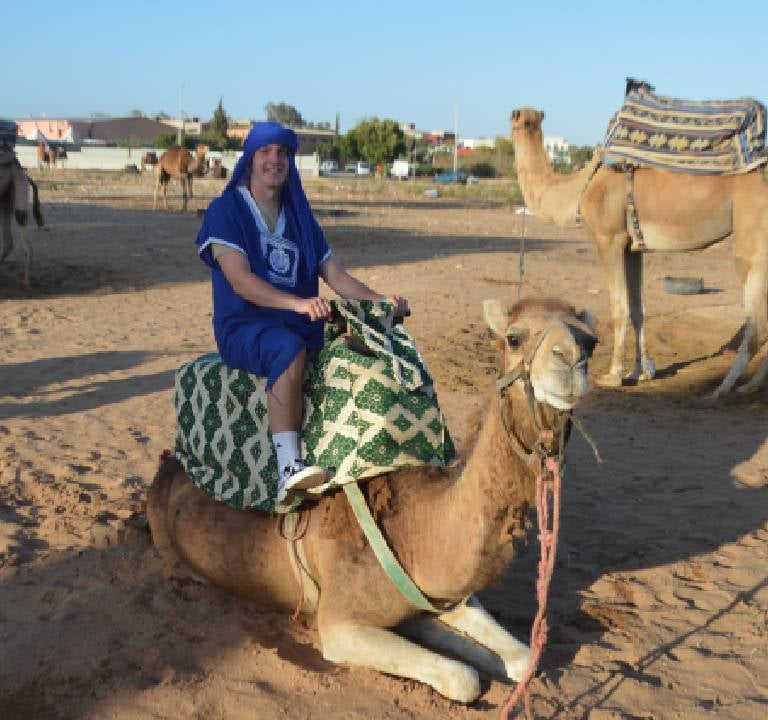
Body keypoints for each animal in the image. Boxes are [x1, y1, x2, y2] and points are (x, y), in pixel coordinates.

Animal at [147, 297, 597, 703]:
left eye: (591, 341)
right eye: (514, 338)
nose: (571, 360)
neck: (415, 529)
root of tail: (169, 461)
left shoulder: (444, 594)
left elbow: (523, 658)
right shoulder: (338, 624)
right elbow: (463, 677)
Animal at [511, 107, 768, 397]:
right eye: (524, 120)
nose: (524, 122)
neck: (580, 187)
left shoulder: (608, 238)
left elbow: (619, 307)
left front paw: (612, 376)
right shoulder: (632, 248)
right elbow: (638, 309)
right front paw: (639, 373)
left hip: (752, 238)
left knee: (757, 324)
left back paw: (722, 389)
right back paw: (752, 385)